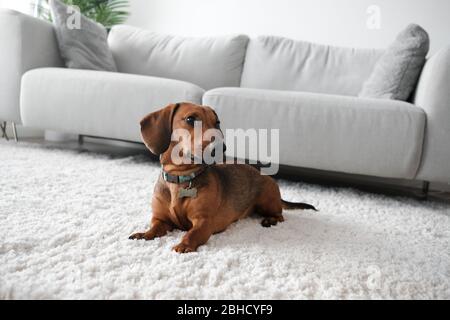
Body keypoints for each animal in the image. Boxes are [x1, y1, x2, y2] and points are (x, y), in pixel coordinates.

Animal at [128, 102, 314, 252]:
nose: (220, 148)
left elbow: (192, 234)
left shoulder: (203, 221)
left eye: (217, 122)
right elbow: (154, 228)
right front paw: (144, 234)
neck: (181, 178)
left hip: (266, 202)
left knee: (280, 215)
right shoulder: (160, 219)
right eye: (190, 119)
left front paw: (183, 245)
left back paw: (270, 220)